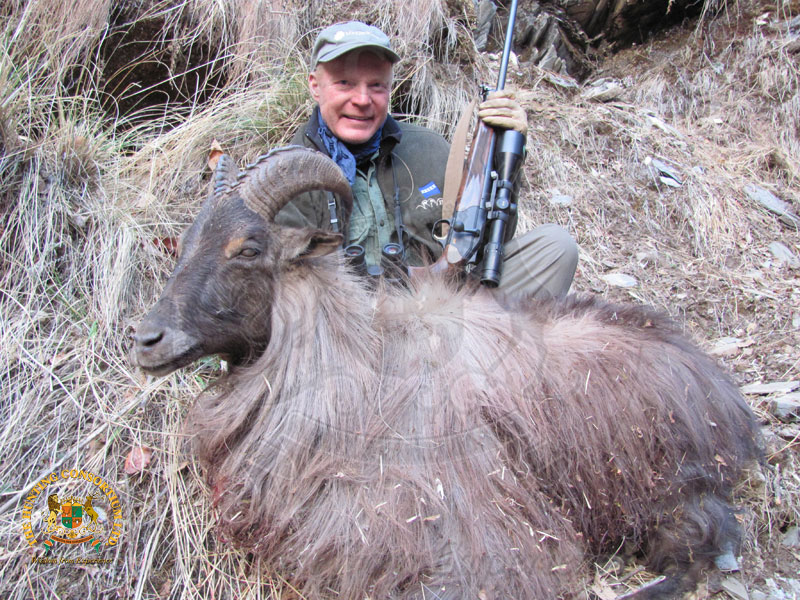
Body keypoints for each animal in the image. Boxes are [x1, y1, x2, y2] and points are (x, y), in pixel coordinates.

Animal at [132, 146, 761, 599]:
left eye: (249, 248)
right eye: (185, 243)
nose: (146, 339)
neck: (354, 361)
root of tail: (730, 399)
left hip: (663, 483)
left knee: (702, 545)